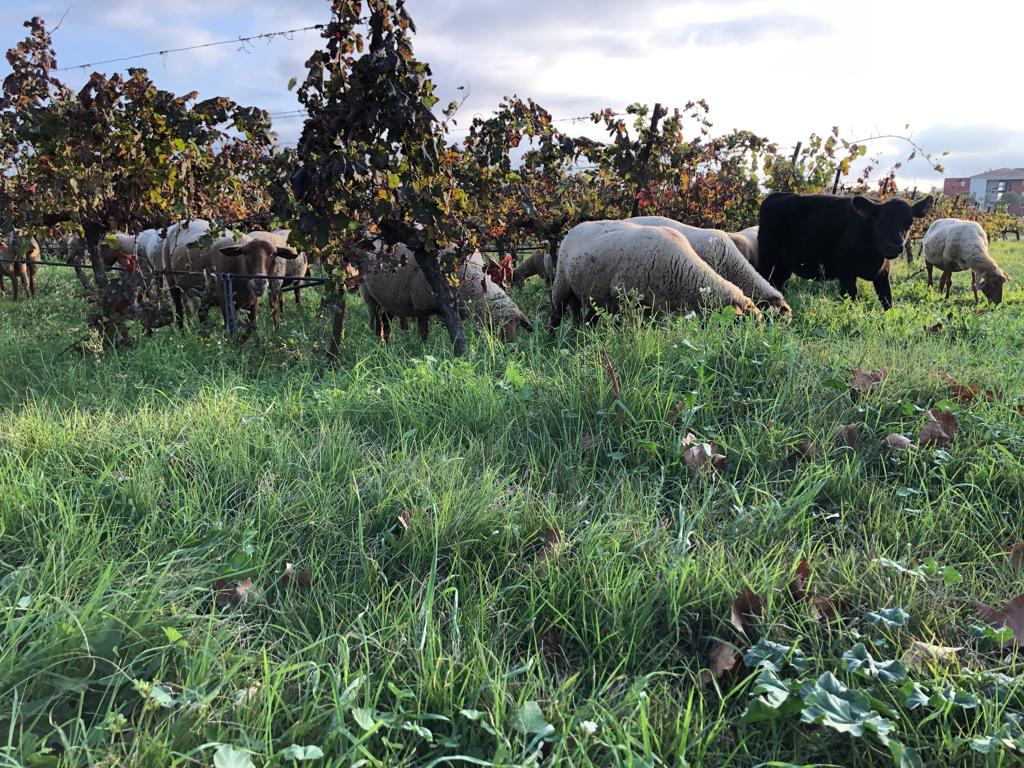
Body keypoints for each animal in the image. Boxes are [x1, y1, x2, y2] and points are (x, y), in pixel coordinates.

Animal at [359, 247, 533, 342]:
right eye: (495, 325)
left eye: (517, 325)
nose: (511, 347)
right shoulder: (421, 306)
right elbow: (423, 334)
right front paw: (423, 349)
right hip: (368, 295)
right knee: (374, 319)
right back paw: (377, 339)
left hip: (388, 298)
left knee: (385, 319)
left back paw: (386, 341)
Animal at [550, 220, 760, 331]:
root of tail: (576, 227)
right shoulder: (625, 296)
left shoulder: (656, 307)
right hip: (561, 282)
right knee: (557, 311)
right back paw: (552, 339)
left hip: (588, 293)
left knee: (582, 315)